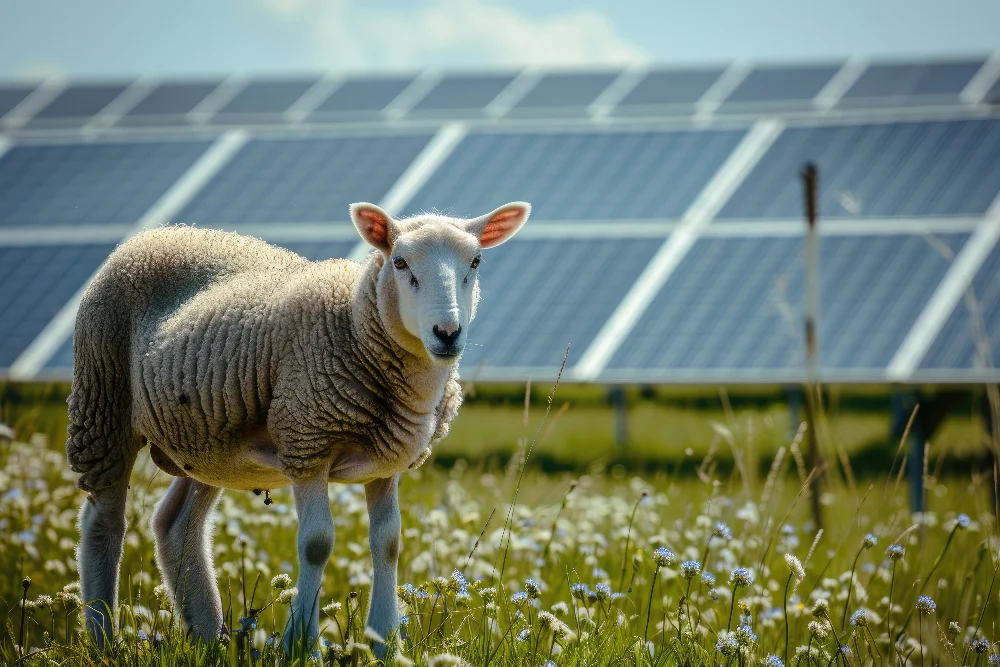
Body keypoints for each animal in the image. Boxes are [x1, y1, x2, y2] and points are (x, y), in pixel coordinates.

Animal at [64, 201, 532, 656]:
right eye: (399, 262)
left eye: (475, 262)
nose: (447, 333)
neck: (354, 322)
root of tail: (159, 233)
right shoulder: (307, 441)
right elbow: (317, 543)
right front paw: (300, 644)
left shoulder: (387, 463)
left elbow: (389, 542)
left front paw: (385, 642)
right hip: (102, 399)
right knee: (104, 522)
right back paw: (104, 636)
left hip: (207, 439)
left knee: (175, 524)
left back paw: (208, 635)